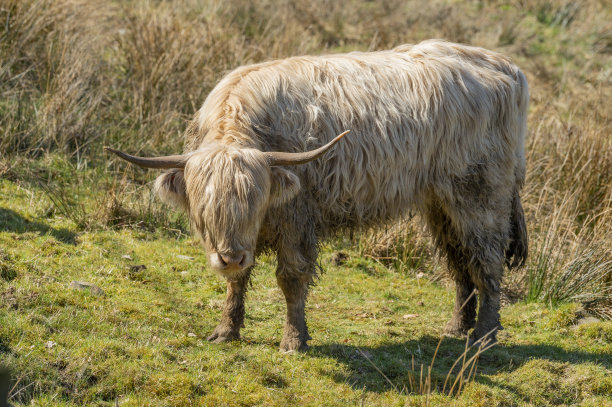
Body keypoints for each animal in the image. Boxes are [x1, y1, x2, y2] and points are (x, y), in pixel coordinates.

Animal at [105, 39, 524, 352]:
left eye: (254, 202)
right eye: (205, 208)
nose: (230, 256)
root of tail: (504, 65)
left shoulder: (296, 218)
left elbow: (291, 278)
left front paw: (293, 340)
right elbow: (237, 281)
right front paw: (226, 330)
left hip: (480, 194)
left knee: (486, 262)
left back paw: (484, 336)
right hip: (440, 202)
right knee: (457, 259)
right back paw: (457, 327)